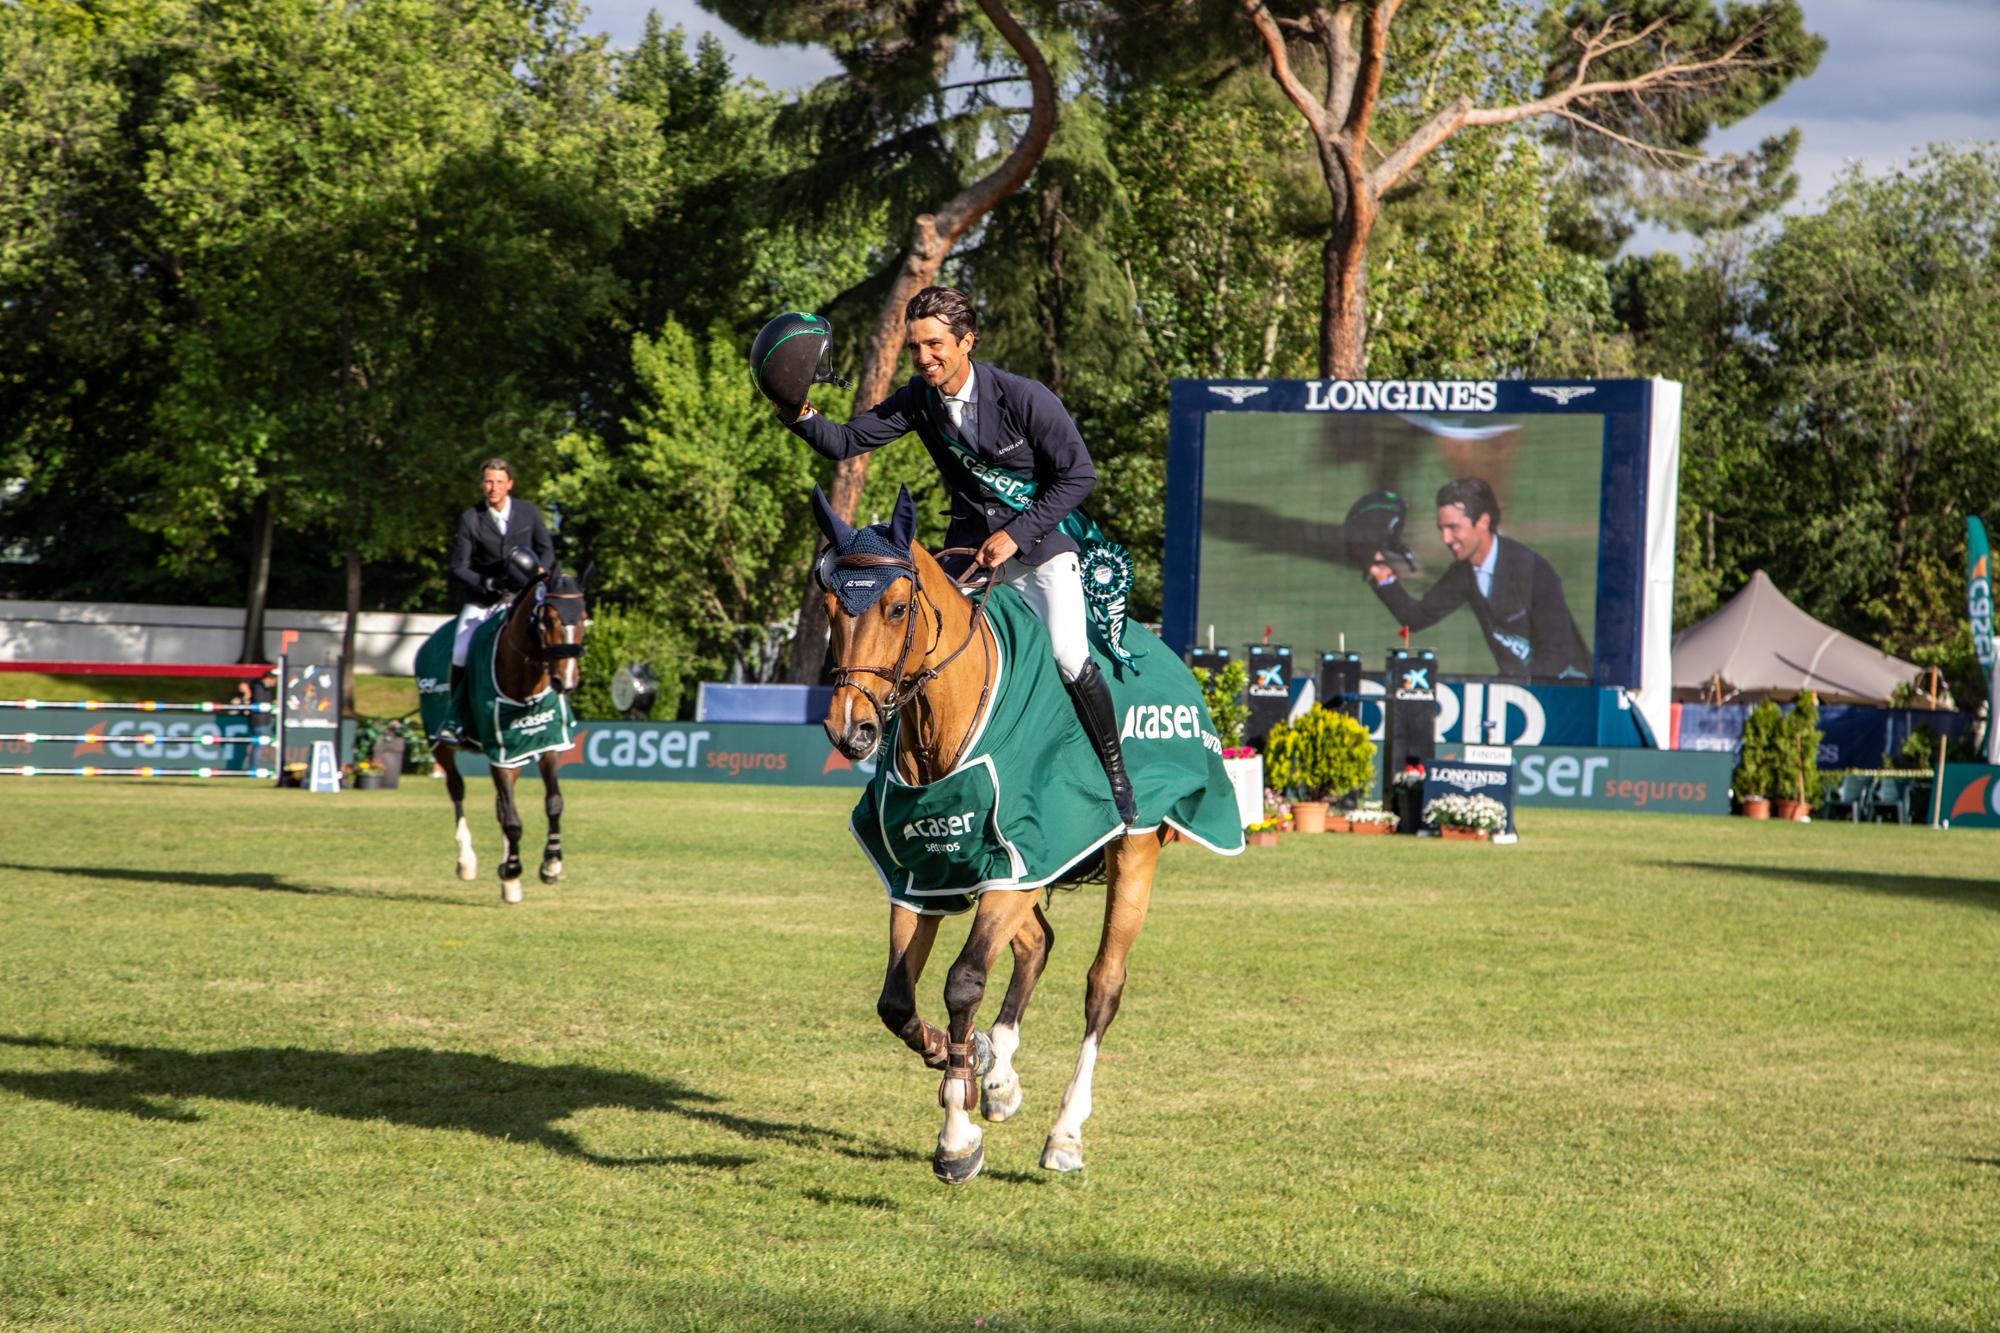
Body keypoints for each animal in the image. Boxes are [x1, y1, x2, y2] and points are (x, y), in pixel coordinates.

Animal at [436, 564, 584, 896]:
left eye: (583, 617)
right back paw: (468, 861)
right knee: (457, 789)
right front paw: (515, 868)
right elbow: (513, 819)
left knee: (500, 805)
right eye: (548, 619)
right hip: (439, 742)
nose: (566, 681)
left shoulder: (546, 746)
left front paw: (551, 864)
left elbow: (553, 803)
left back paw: (507, 877)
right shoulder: (499, 750)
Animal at [812, 490, 1168, 1184]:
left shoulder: (1018, 859)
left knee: (1103, 985)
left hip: (1129, 854)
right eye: (830, 609)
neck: (936, 726)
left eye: (897, 608)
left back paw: (1065, 1133)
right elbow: (898, 1001)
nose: (852, 731)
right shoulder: (924, 874)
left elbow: (963, 983)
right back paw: (1000, 1076)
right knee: (1037, 945)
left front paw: (957, 1134)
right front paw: (968, 1066)